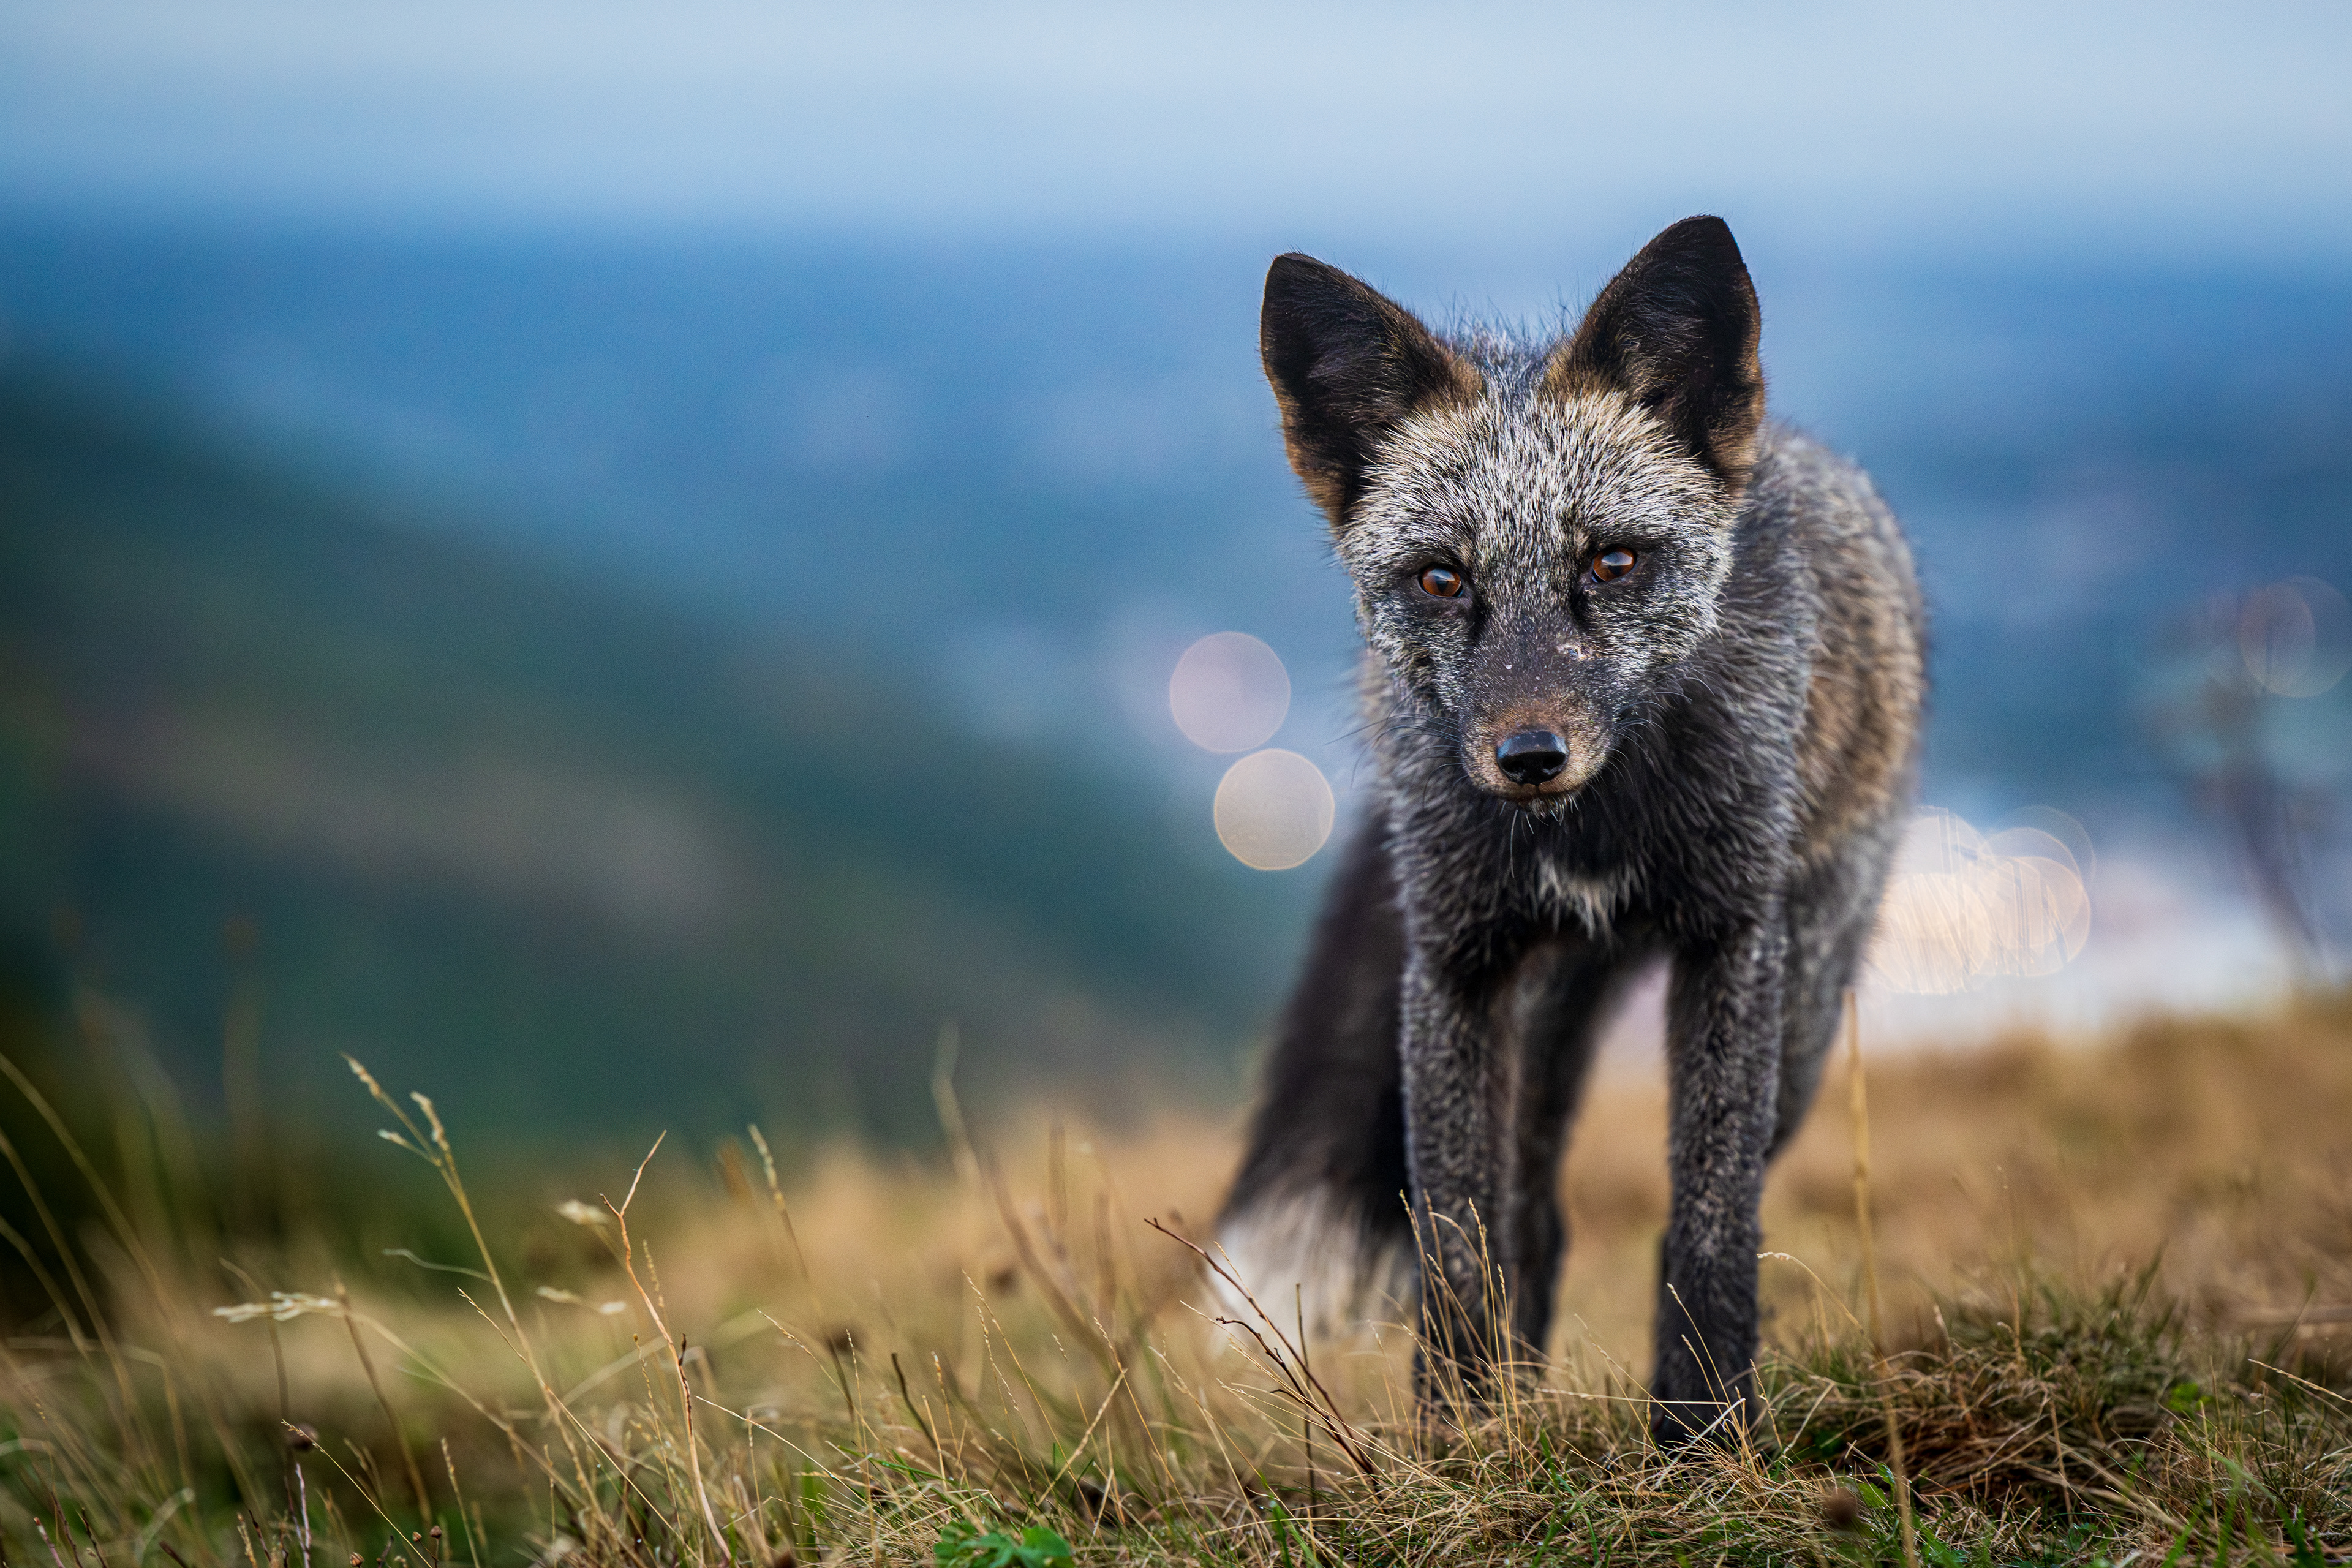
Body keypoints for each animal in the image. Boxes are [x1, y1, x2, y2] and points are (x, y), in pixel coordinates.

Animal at [1215, 216, 1925, 1444]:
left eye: (1613, 561)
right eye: (1441, 579)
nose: (1530, 758)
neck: (1593, 839)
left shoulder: (1730, 947)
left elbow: (1711, 1232)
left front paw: (1706, 1447)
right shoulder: (1455, 964)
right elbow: (1457, 1251)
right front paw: (1455, 1453)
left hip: (1802, 1013)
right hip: (1542, 1013)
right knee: (1533, 1222)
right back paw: (1508, 1406)